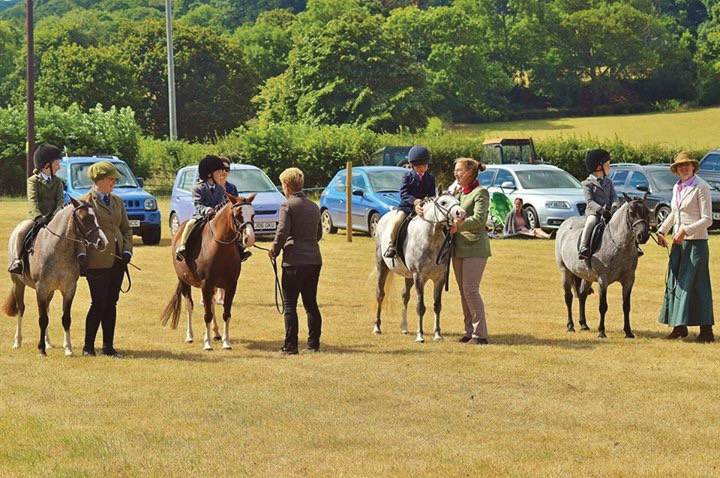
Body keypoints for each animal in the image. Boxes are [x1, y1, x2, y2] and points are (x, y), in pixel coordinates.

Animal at [3, 200, 107, 356]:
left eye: (96, 217)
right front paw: (41, 350)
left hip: (50, 292)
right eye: (83, 218)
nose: (102, 242)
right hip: (18, 284)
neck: (58, 249)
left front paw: (68, 349)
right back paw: (17, 342)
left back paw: (48, 343)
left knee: (46, 310)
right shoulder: (41, 288)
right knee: (21, 309)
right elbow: (42, 319)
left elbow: (65, 319)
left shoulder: (69, 289)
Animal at [160, 194, 256, 352]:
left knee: (211, 304)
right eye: (237, 215)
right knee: (190, 306)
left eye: (253, 214)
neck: (220, 247)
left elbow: (225, 313)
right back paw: (190, 336)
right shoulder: (206, 284)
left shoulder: (231, 285)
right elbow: (207, 315)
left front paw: (226, 342)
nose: (250, 238)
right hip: (184, 281)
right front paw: (207, 344)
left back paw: (215, 333)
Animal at [372, 192, 466, 342]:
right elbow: (420, 307)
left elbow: (437, 306)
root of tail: (384, 217)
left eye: (458, 202)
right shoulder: (419, 277)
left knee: (405, 296)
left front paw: (438, 335)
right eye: (443, 203)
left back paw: (404, 328)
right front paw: (420, 336)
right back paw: (377, 327)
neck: (431, 238)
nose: (461, 213)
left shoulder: (439, 278)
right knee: (380, 294)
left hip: (409, 276)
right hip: (382, 267)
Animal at [556, 195, 648, 340]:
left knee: (582, 295)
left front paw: (628, 332)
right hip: (565, 271)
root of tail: (565, 223)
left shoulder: (629, 280)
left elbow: (626, 306)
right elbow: (603, 306)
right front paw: (601, 332)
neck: (619, 245)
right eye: (631, 213)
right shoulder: (603, 280)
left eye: (648, 212)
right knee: (568, 297)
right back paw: (570, 326)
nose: (643, 236)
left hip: (586, 276)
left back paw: (583, 324)